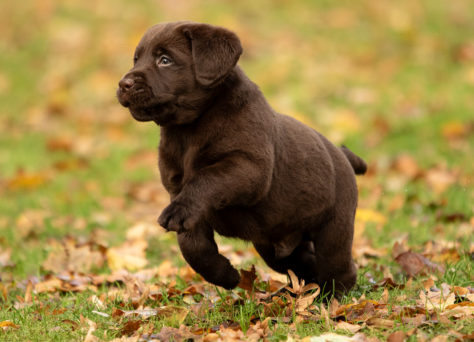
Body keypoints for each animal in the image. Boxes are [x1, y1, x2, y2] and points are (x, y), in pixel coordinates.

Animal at [117, 21, 366, 296]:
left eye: (165, 60)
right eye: (136, 59)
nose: (123, 83)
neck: (188, 130)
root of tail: (342, 155)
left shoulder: (247, 167)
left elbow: (206, 179)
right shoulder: (177, 189)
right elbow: (192, 246)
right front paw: (226, 276)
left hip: (334, 226)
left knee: (338, 265)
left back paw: (331, 296)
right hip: (274, 246)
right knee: (302, 262)